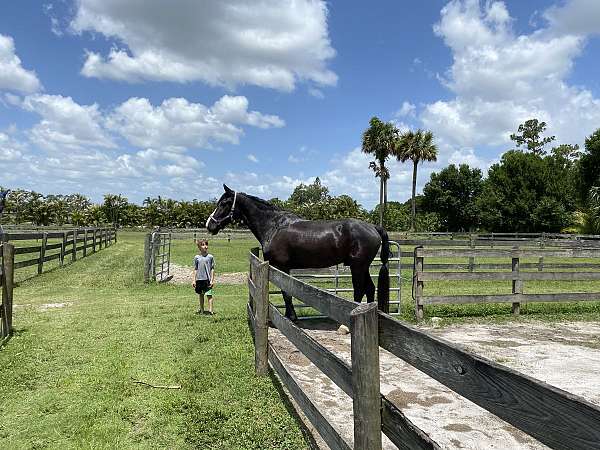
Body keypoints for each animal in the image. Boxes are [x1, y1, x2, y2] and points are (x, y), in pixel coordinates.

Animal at [206, 184, 390, 320]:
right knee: (370, 289)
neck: (274, 226)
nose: (210, 225)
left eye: (224, 203)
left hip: (357, 267)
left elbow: (286, 293)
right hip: (363, 266)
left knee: (359, 290)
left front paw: (291, 317)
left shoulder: (283, 267)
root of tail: (373, 227)